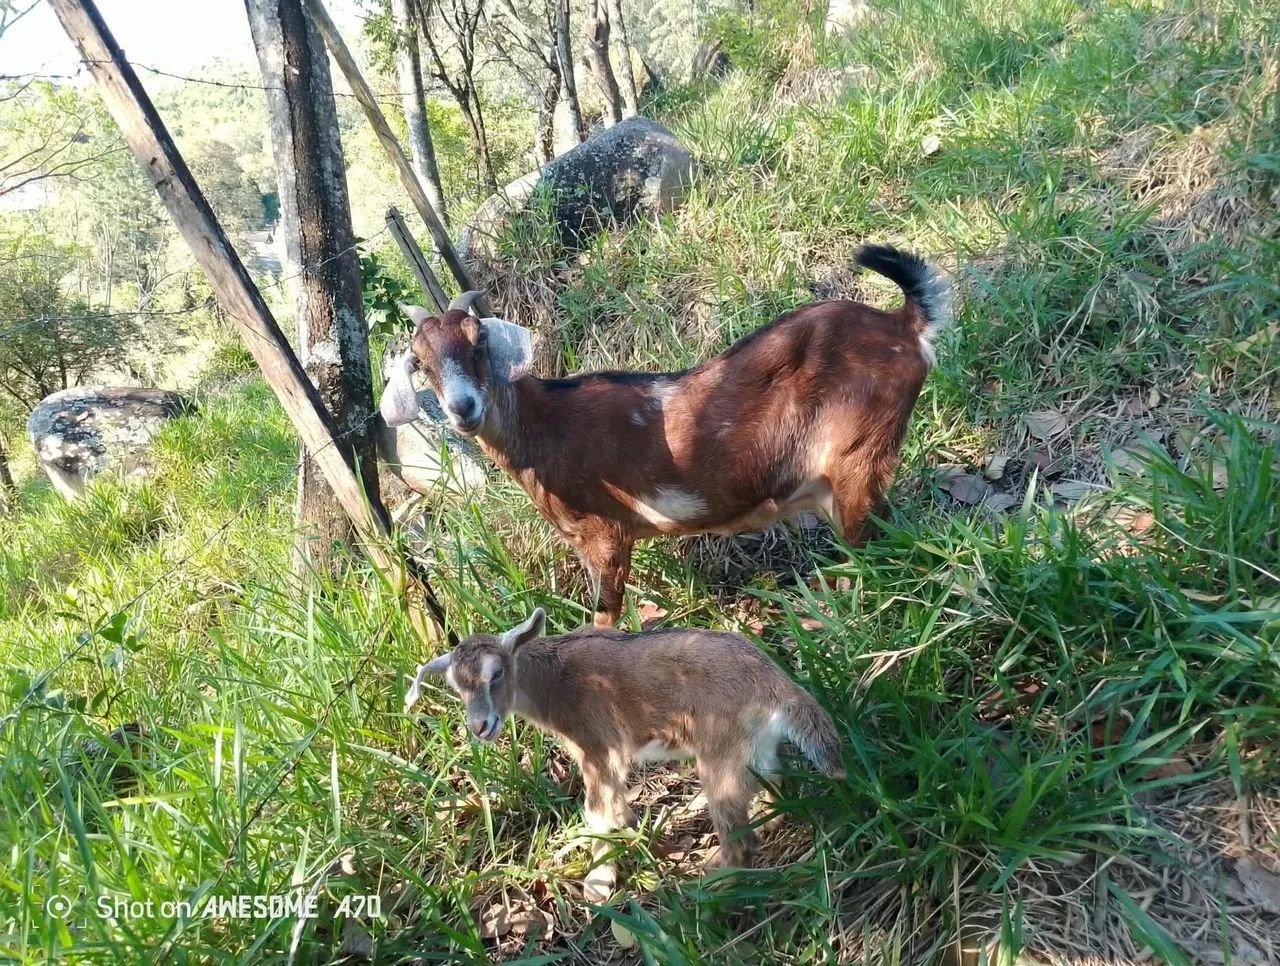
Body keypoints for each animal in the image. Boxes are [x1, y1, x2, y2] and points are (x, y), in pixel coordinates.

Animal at [382, 244, 951, 626]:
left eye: (479, 340)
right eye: (421, 362)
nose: (462, 408)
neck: (546, 427)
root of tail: (905, 326)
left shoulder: (606, 532)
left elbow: (604, 615)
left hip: (858, 454)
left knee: (876, 547)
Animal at [404, 608, 844, 900]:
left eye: (496, 674)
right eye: (456, 687)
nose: (481, 727)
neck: (552, 680)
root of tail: (775, 684)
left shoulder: (598, 748)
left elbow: (596, 812)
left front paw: (599, 882)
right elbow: (613, 807)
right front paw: (629, 829)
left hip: (719, 753)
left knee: (740, 840)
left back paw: (710, 884)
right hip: (756, 749)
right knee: (774, 785)